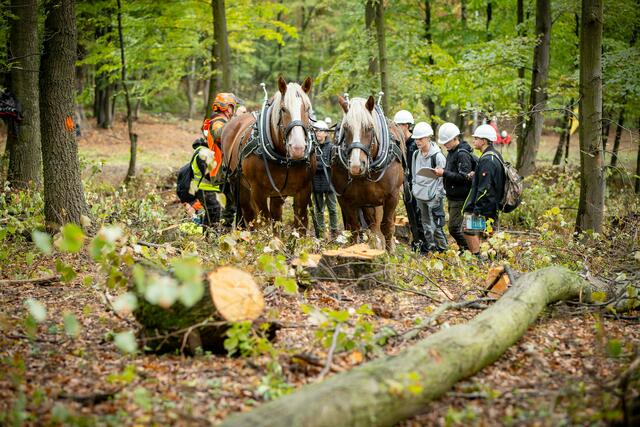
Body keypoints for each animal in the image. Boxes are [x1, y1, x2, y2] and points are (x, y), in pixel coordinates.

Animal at [221, 76, 316, 230]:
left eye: (307, 109)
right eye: (283, 109)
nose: (298, 148)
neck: (284, 159)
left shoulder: (304, 191)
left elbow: (300, 225)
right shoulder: (258, 192)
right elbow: (265, 223)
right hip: (239, 185)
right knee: (249, 216)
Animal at [331, 95, 405, 251]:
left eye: (369, 128)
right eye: (346, 128)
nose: (356, 166)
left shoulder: (392, 196)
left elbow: (387, 226)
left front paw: (391, 253)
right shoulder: (346, 199)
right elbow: (354, 228)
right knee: (372, 226)